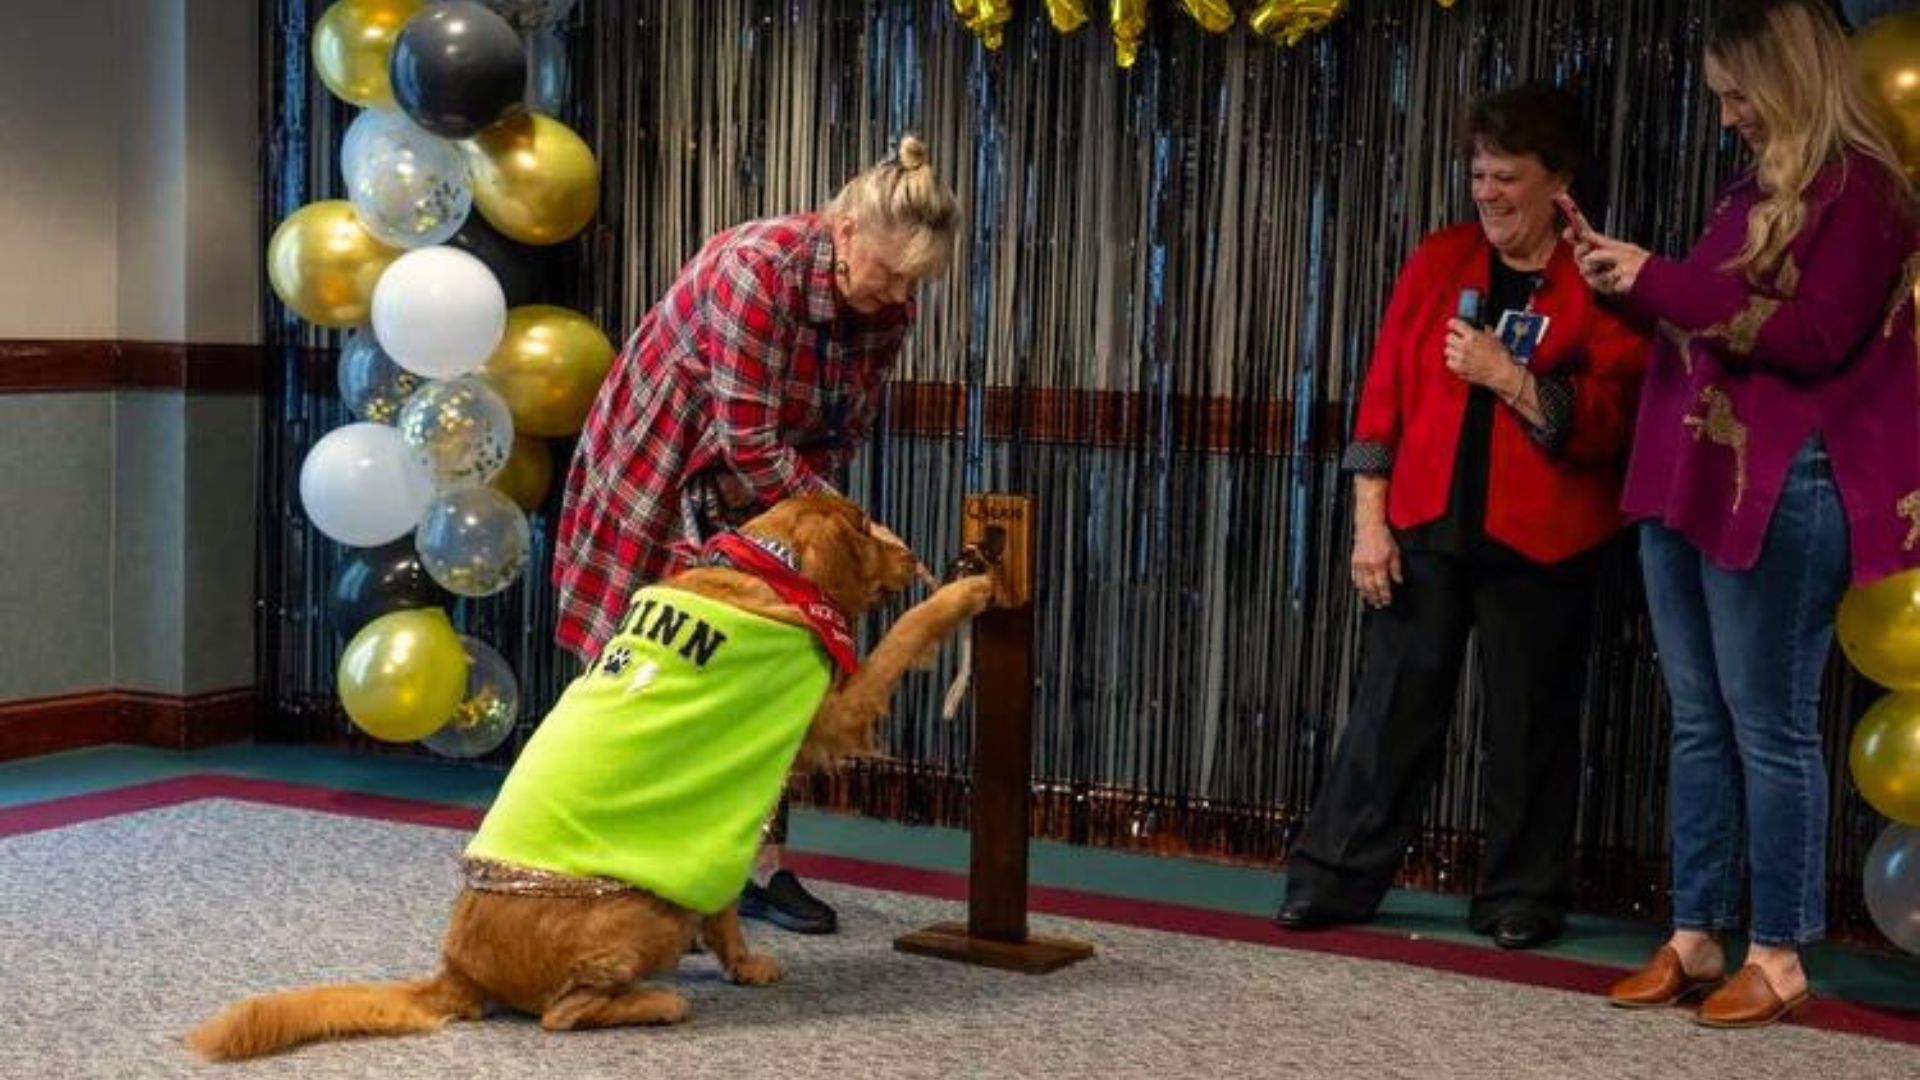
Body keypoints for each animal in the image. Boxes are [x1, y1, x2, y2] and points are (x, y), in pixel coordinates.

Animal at [191, 495, 1006, 1060]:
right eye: (868, 527)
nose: (914, 553)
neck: (769, 567)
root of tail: (456, 969)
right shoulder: (837, 713)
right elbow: (903, 637)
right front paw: (961, 595)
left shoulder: (721, 816)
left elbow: (725, 902)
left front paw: (742, 962)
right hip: (636, 914)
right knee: (564, 1013)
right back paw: (657, 1001)